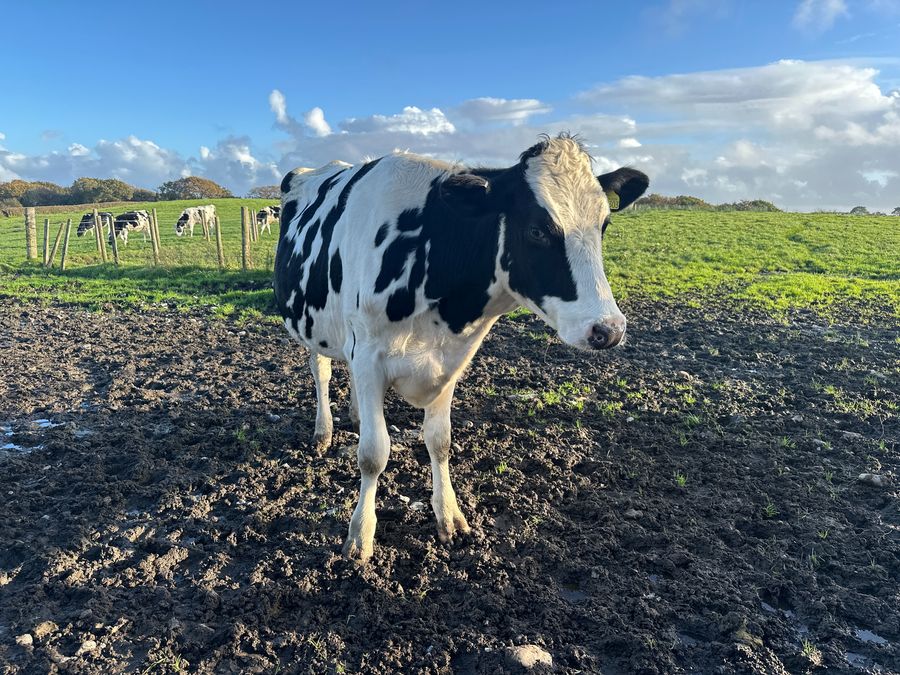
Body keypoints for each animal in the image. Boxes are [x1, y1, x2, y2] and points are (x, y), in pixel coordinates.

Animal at [274, 134, 648, 563]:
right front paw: (361, 534)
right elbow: (373, 453)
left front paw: (449, 516)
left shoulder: (449, 359)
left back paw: (353, 414)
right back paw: (324, 431)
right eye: (537, 230)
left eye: (604, 225)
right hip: (311, 321)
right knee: (321, 371)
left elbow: (440, 442)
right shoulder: (368, 353)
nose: (610, 329)